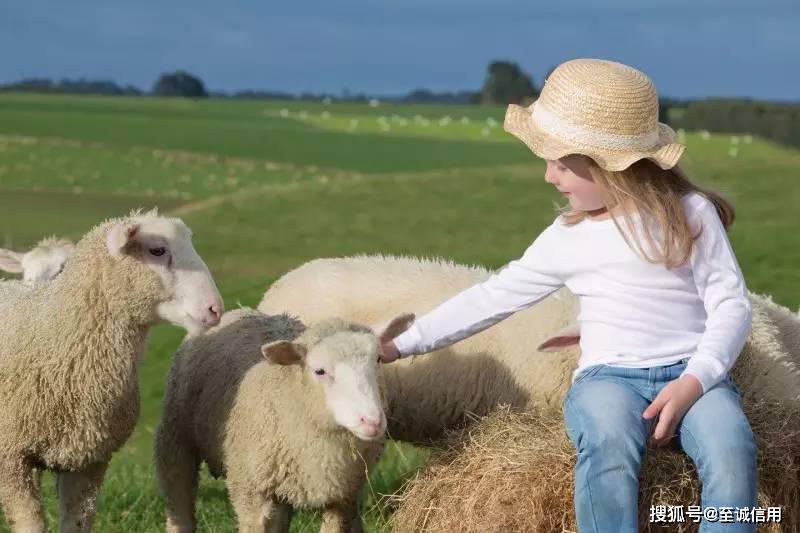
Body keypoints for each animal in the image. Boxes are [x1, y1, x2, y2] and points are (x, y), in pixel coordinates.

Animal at [156, 308, 416, 532]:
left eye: (379, 359)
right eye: (320, 371)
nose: (372, 421)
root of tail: (239, 311)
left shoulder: (342, 496)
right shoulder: (249, 491)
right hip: (176, 438)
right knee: (179, 495)